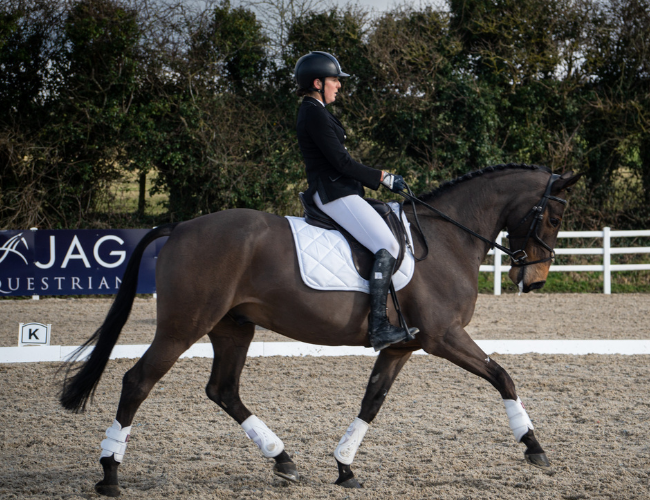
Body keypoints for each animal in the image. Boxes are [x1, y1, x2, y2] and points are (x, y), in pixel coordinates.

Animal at [59, 165, 576, 496]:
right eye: (553, 217)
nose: (534, 280)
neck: (447, 238)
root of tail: (181, 227)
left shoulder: (402, 347)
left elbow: (372, 401)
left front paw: (345, 468)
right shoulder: (442, 337)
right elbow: (503, 377)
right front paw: (534, 448)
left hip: (233, 327)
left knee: (223, 389)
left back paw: (283, 460)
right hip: (183, 326)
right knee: (137, 381)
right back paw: (109, 474)